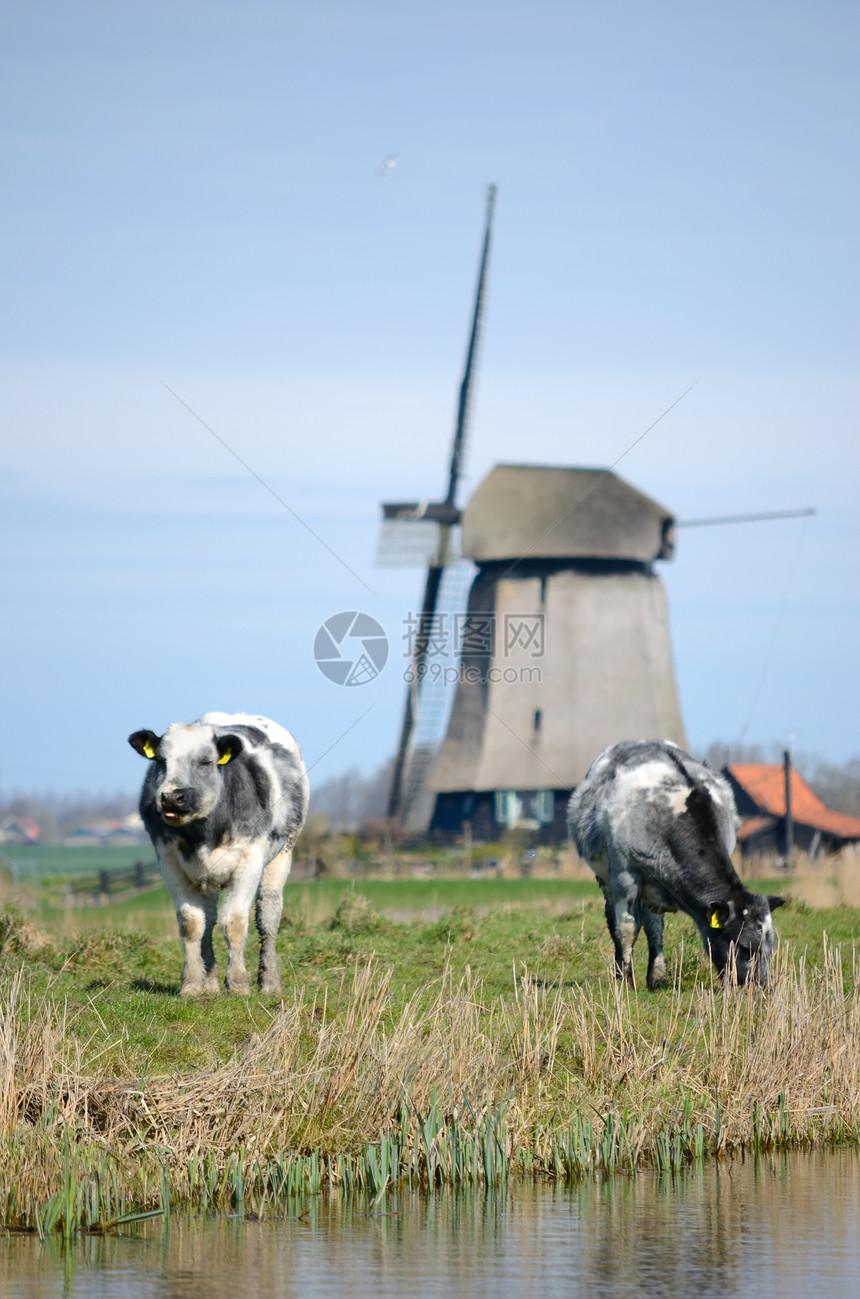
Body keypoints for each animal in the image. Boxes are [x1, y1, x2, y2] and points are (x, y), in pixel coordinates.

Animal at [128, 711, 310, 992]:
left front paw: (238, 984)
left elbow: (234, 922)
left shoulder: (249, 861)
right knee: (209, 919)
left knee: (268, 916)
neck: (204, 833)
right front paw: (192, 984)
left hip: (283, 853)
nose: (171, 798)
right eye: (160, 760)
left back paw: (269, 982)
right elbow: (191, 923)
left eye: (205, 762)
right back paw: (210, 983)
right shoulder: (170, 864)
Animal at [569, 737, 784, 987]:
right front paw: (625, 981)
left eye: (770, 948)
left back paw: (656, 977)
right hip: (605, 876)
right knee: (615, 920)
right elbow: (627, 927)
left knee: (654, 924)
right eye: (745, 947)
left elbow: (652, 927)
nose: (760, 984)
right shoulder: (625, 875)